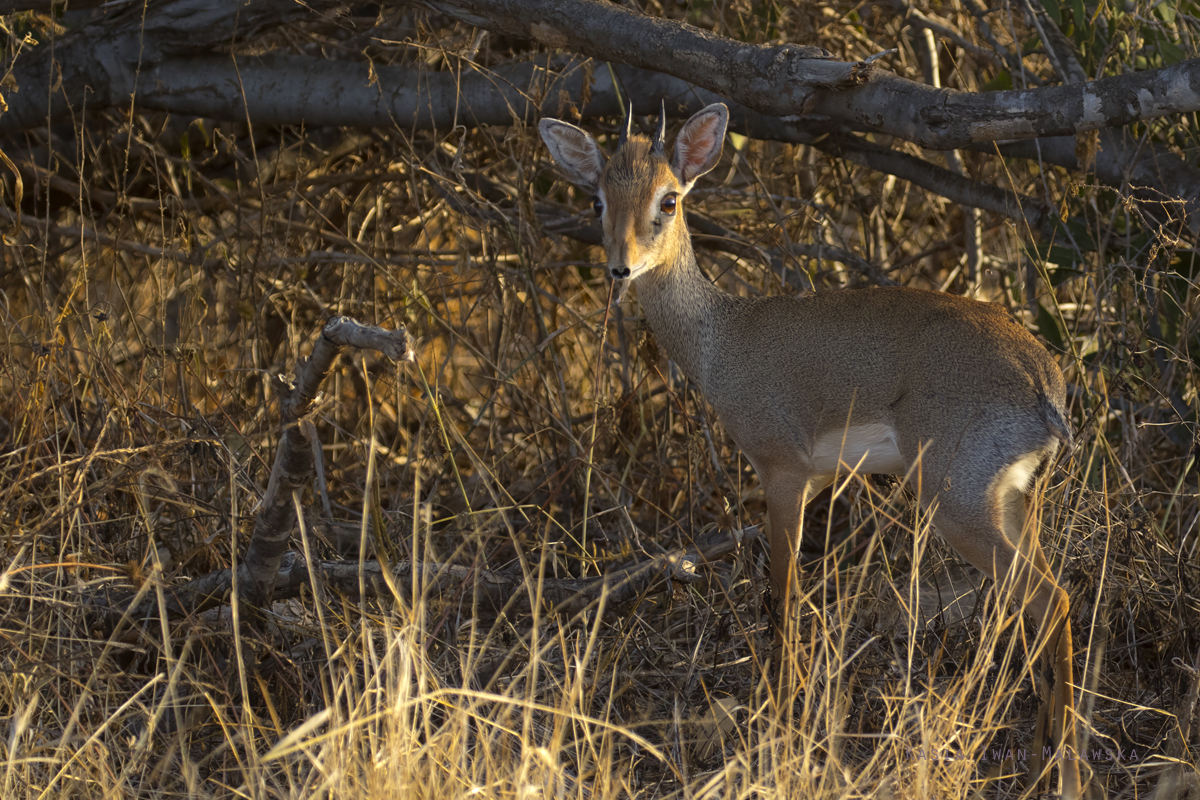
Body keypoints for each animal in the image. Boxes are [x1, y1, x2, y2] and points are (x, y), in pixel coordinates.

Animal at [540, 106, 1084, 800]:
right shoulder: (822, 478)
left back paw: (1064, 769)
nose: (621, 268)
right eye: (598, 197)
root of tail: (1046, 384)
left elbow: (784, 595)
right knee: (1048, 602)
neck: (721, 341)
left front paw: (781, 729)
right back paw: (1044, 757)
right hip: (1011, 501)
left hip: (955, 501)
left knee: (1051, 598)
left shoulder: (783, 471)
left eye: (669, 198)